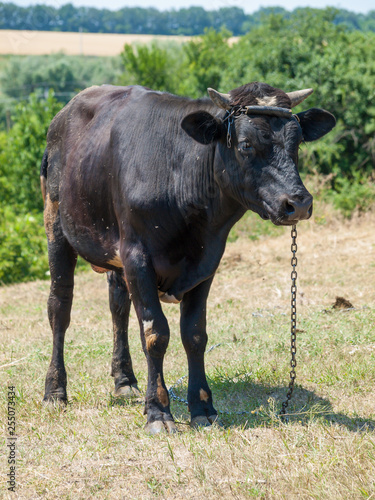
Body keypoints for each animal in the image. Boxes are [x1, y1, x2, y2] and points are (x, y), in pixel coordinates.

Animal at [41, 82, 338, 434]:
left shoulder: (206, 261)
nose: (298, 203)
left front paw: (202, 407)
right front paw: (158, 412)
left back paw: (124, 381)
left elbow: (194, 334)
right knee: (59, 308)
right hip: (56, 226)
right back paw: (55, 392)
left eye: (298, 142)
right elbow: (155, 333)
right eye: (246, 144)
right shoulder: (136, 255)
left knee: (118, 307)